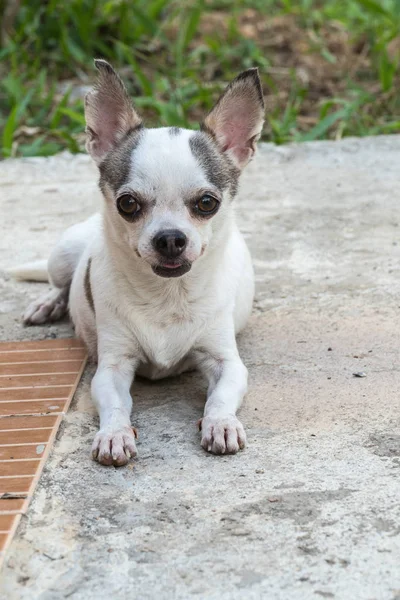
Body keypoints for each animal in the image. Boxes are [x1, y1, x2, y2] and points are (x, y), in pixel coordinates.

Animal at [18, 59, 266, 464]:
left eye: (207, 203)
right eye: (128, 204)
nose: (170, 238)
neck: (168, 294)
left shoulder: (226, 362)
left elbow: (220, 397)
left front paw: (220, 424)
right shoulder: (112, 367)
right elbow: (116, 405)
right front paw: (115, 434)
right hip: (63, 253)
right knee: (60, 283)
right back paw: (47, 303)